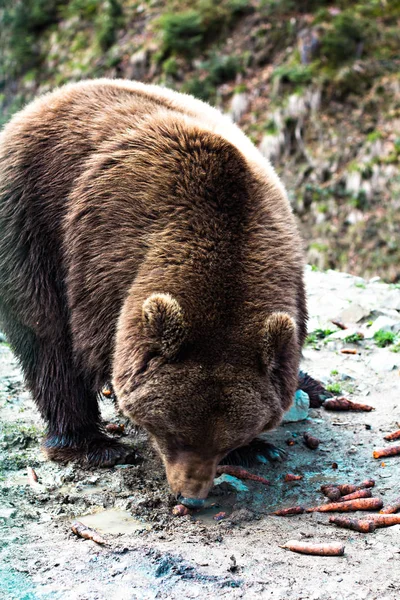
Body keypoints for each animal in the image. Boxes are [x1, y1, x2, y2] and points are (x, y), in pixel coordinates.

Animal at [0, 77, 306, 504]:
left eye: (226, 441)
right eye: (172, 433)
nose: (190, 495)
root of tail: (48, 99)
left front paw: (258, 450)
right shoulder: (101, 261)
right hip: (29, 218)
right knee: (46, 336)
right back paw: (91, 445)